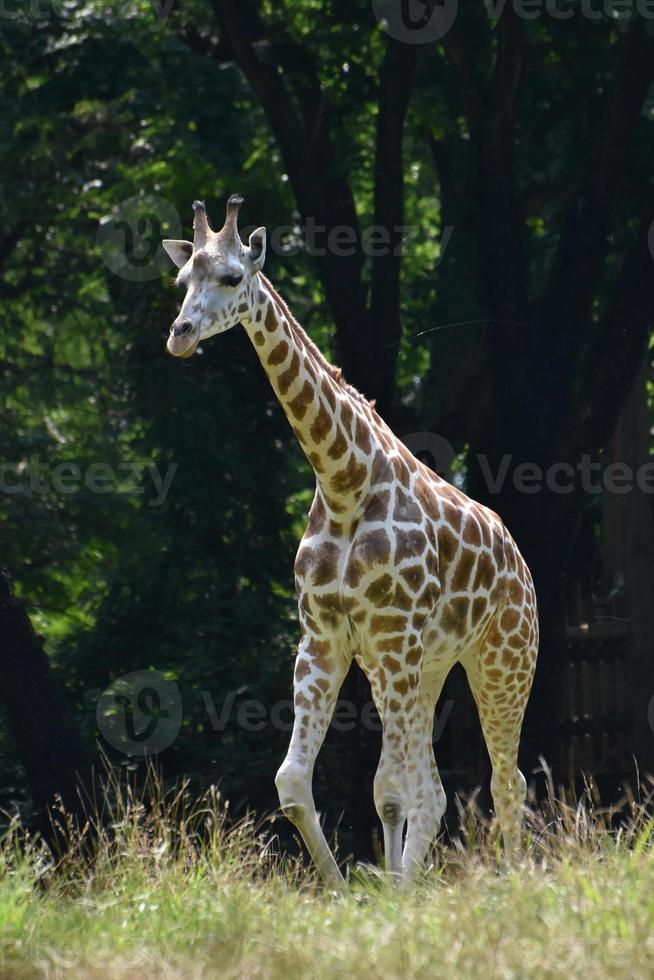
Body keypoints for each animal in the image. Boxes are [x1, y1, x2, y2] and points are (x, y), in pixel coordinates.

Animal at [163, 195, 540, 884]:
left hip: (502, 658)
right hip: (429, 666)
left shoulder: (390, 639)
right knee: (432, 785)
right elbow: (297, 782)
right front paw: (355, 890)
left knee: (505, 782)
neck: (343, 481)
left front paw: (397, 896)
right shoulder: (325, 638)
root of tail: (520, 561)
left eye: (231, 276)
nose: (179, 334)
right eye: (181, 280)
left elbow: (403, 790)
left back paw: (515, 880)